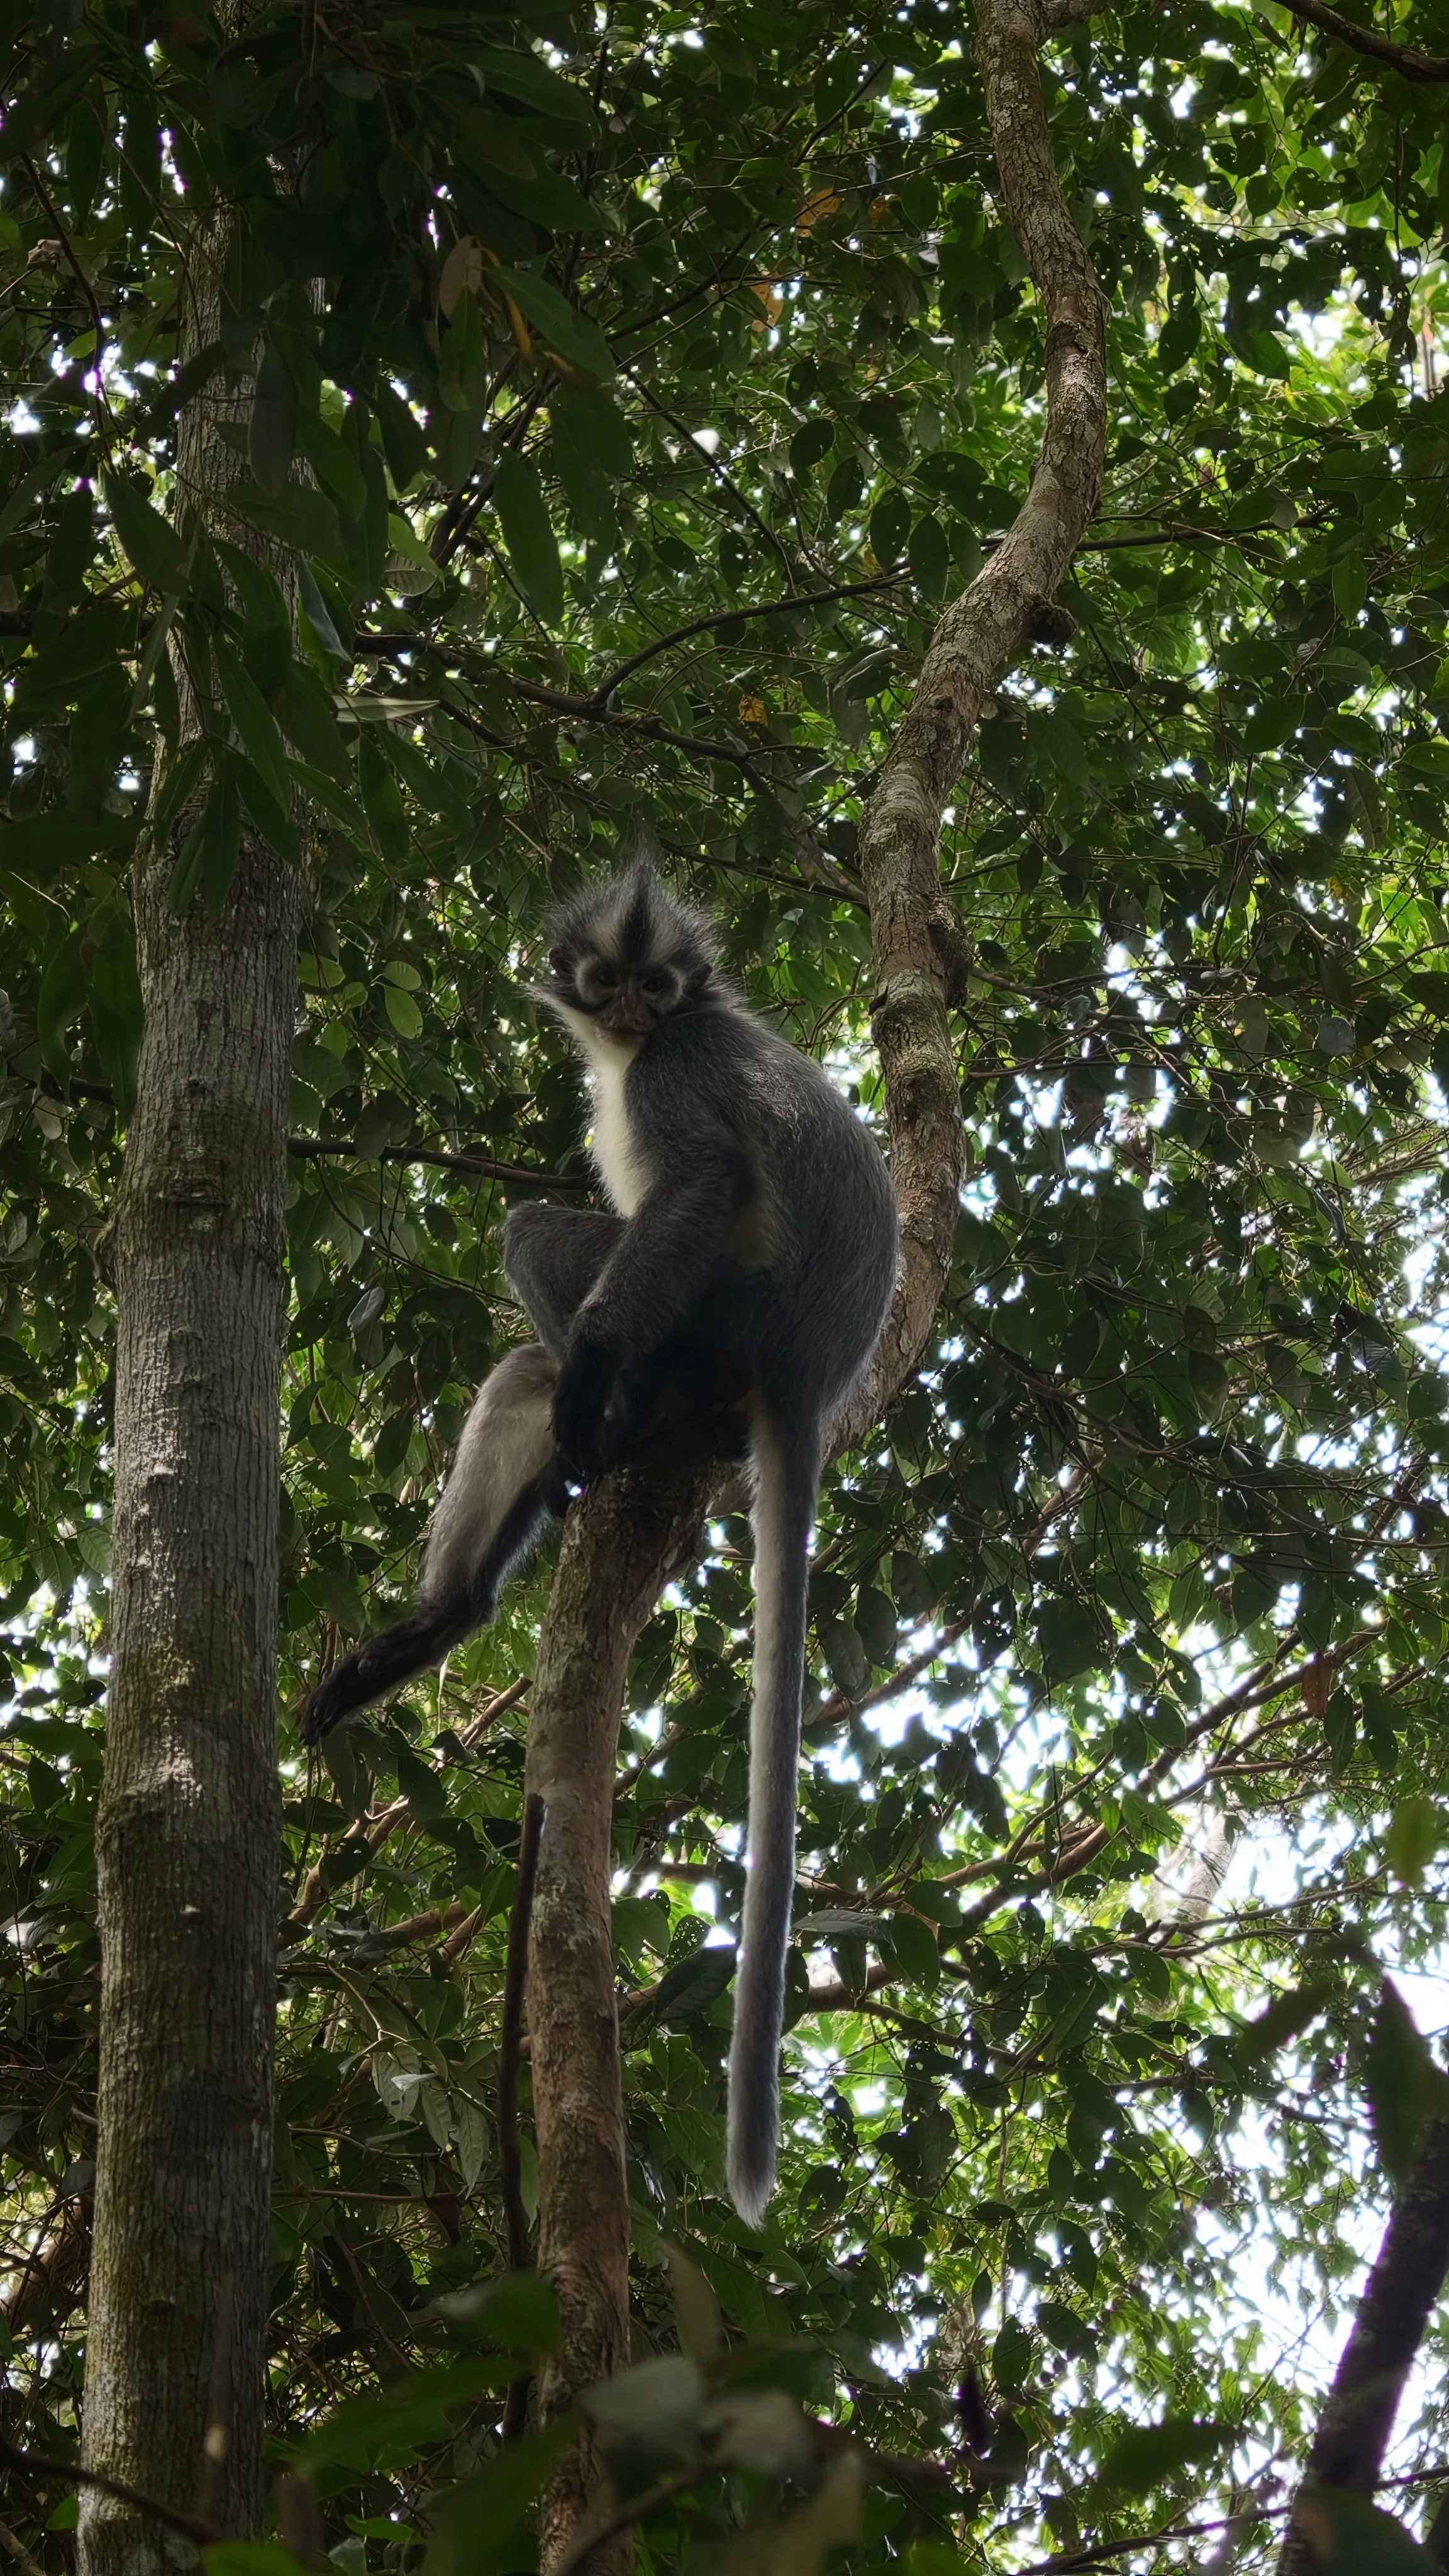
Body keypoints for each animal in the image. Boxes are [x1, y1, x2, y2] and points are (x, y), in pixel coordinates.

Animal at [301, 862, 899, 2225]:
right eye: (609, 980)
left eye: (656, 986)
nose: (628, 1009)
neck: (641, 1048)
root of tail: (805, 1369)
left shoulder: (679, 1068)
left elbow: (695, 1184)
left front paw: (592, 1397)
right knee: (526, 1368)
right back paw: (447, 1616)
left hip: (710, 1329)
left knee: (548, 1256)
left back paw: (612, 1417)